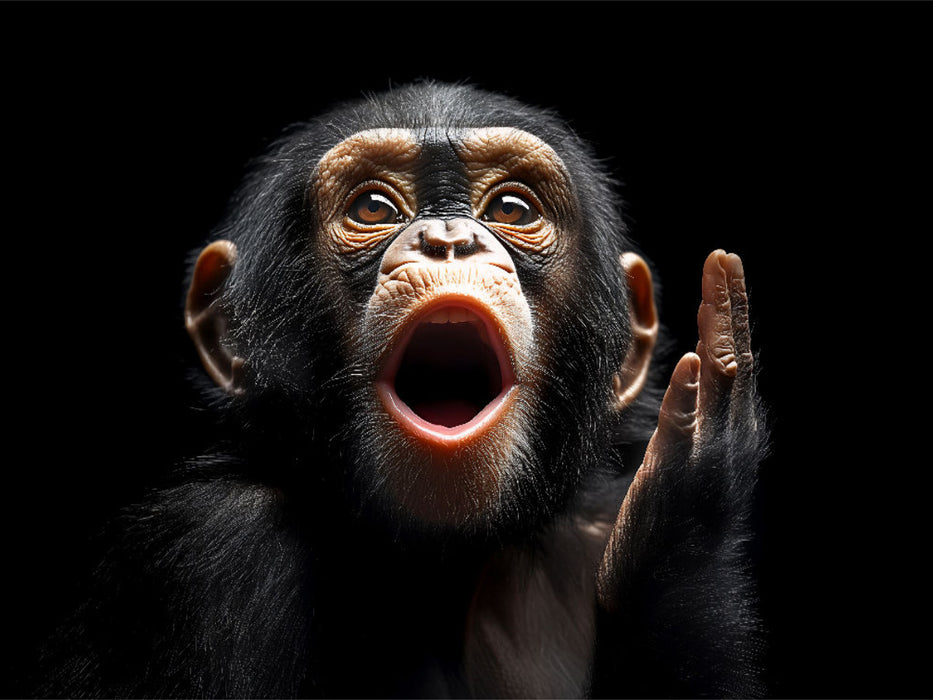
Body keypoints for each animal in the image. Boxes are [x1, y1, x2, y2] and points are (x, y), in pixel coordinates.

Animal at [36, 81, 768, 698]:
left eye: (510, 207)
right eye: (373, 207)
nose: (449, 239)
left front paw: (681, 508)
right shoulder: (202, 556)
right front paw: (684, 496)